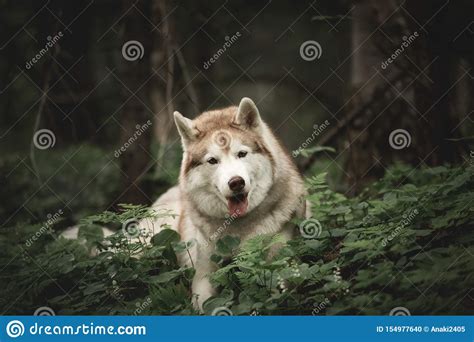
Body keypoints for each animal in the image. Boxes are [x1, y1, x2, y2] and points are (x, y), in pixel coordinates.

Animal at [139, 97, 306, 310]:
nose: (236, 182)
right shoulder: (203, 275)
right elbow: (204, 305)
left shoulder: (280, 263)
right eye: (212, 160)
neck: (238, 228)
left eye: (242, 154)